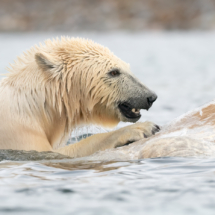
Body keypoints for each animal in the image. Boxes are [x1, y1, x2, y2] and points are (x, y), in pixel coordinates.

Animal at [0, 37, 159, 157]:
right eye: (114, 72)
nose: (150, 97)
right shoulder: (17, 130)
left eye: (128, 68)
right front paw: (143, 128)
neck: (34, 104)